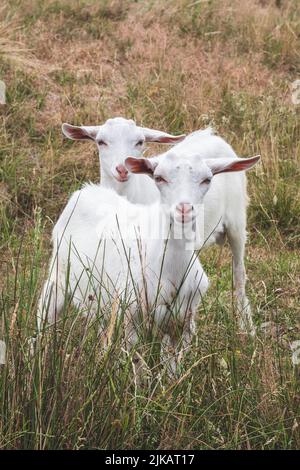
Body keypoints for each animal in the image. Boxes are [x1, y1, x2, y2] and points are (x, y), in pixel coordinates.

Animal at [37, 149, 258, 370]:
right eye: (159, 178)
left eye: (207, 179)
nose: (184, 209)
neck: (170, 271)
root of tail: (87, 190)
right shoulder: (131, 316)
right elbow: (138, 364)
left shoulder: (183, 322)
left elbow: (172, 367)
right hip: (57, 275)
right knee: (45, 317)